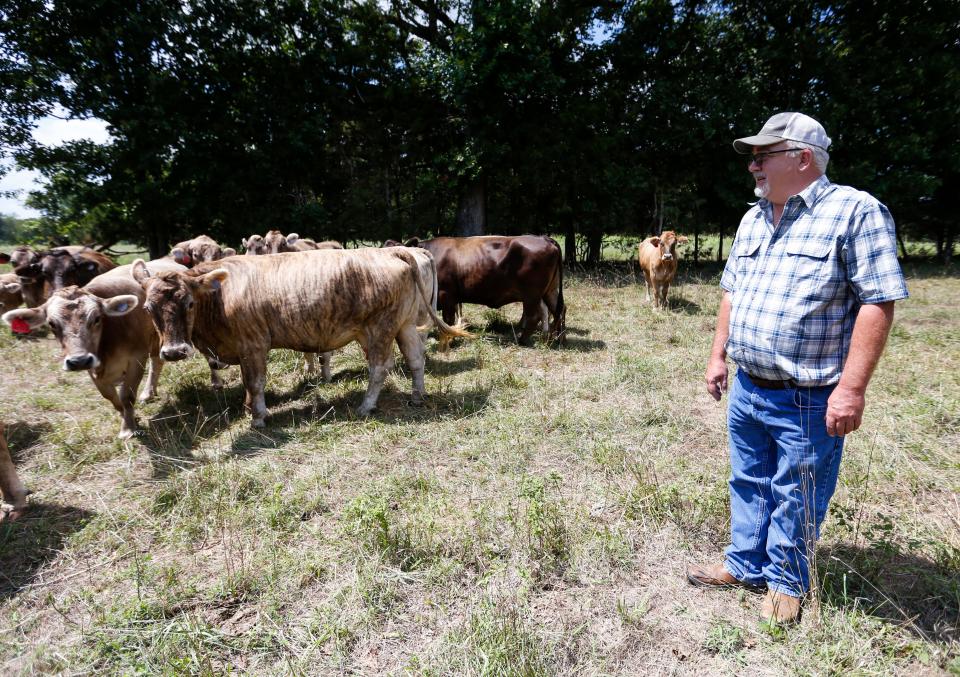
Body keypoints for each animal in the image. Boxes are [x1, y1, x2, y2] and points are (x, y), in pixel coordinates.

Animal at [1, 258, 187, 438]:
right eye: (52, 324)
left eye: (97, 318)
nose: (79, 360)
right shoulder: (93, 367)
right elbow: (111, 397)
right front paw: (127, 417)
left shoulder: (136, 358)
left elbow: (126, 395)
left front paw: (128, 428)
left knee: (156, 362)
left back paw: (148, 392)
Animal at [131, 248, 468, 428]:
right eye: (148, 308)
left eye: (189, 303)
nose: (174, 351)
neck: (220, 296)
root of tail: (396, 249)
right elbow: (249, 384)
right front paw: (253, 410)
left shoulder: (254, 345)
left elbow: (255, 382)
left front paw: (257, 418)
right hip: (407, 324)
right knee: (416, 359)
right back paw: (417, 396)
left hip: (379, 329)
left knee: (379, 368)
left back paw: (366, 406)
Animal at [388, 236, 568, 344]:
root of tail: (544, 238)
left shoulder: (446, 295)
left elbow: (447, 320)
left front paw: (449, 339)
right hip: (550, 291)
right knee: (559, 310)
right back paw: (558, 338)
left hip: (531, 294)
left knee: (535, 315)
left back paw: (521, 339)